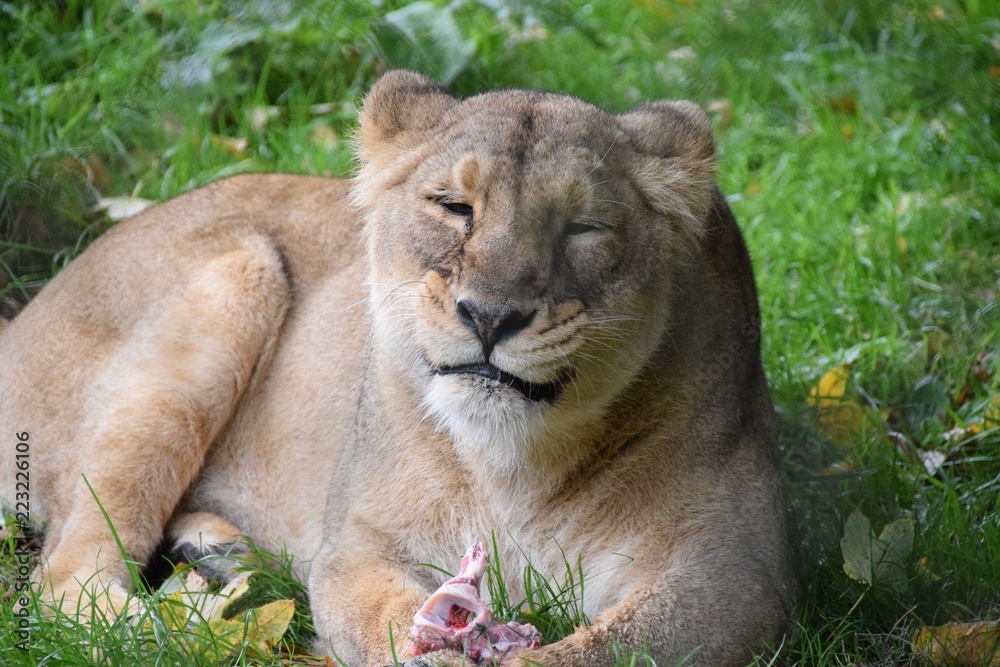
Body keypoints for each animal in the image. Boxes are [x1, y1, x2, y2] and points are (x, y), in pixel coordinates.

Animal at [0, 71, 795, 666]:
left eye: (582, 227)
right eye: (453, 206)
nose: (489, 316)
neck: (516, 465)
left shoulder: (727, 573)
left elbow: (609, 651)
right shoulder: (357, 542)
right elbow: (381, 615)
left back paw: (225, 560)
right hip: (241, 268)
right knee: (62, 584)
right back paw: (203, 626)